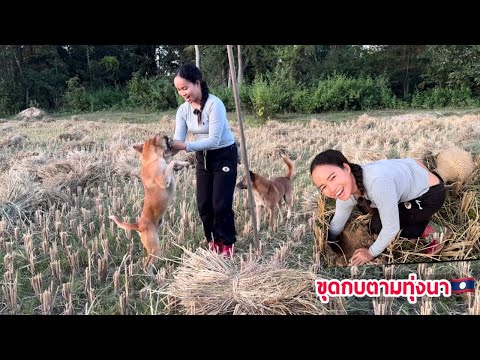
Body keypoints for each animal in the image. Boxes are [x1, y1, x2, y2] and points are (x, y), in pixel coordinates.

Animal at [109, 134, 189, 270]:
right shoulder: (163, 180)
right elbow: (171, 163)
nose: (167, 136)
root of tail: (138, 225)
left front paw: (182, 164)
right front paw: (181, 163)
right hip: (154, 248)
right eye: (161, 136)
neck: (152, 159)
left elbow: (171, 163)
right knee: (147, 265)